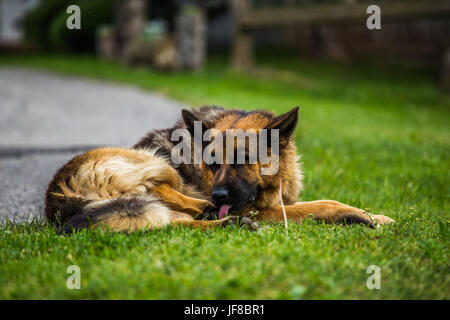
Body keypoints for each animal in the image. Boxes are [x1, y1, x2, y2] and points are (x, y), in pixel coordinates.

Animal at [44, 106, 392, 234]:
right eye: (212, 163)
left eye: (242, 160)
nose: (220, 194)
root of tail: (57, 196)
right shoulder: (262, 208)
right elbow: (320, 205)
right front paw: (360, 216)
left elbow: (325, 201)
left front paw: (374, 215)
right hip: (151, 161)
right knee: (163, 192)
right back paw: (211, 210)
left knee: (177, 224)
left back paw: (225, 221)